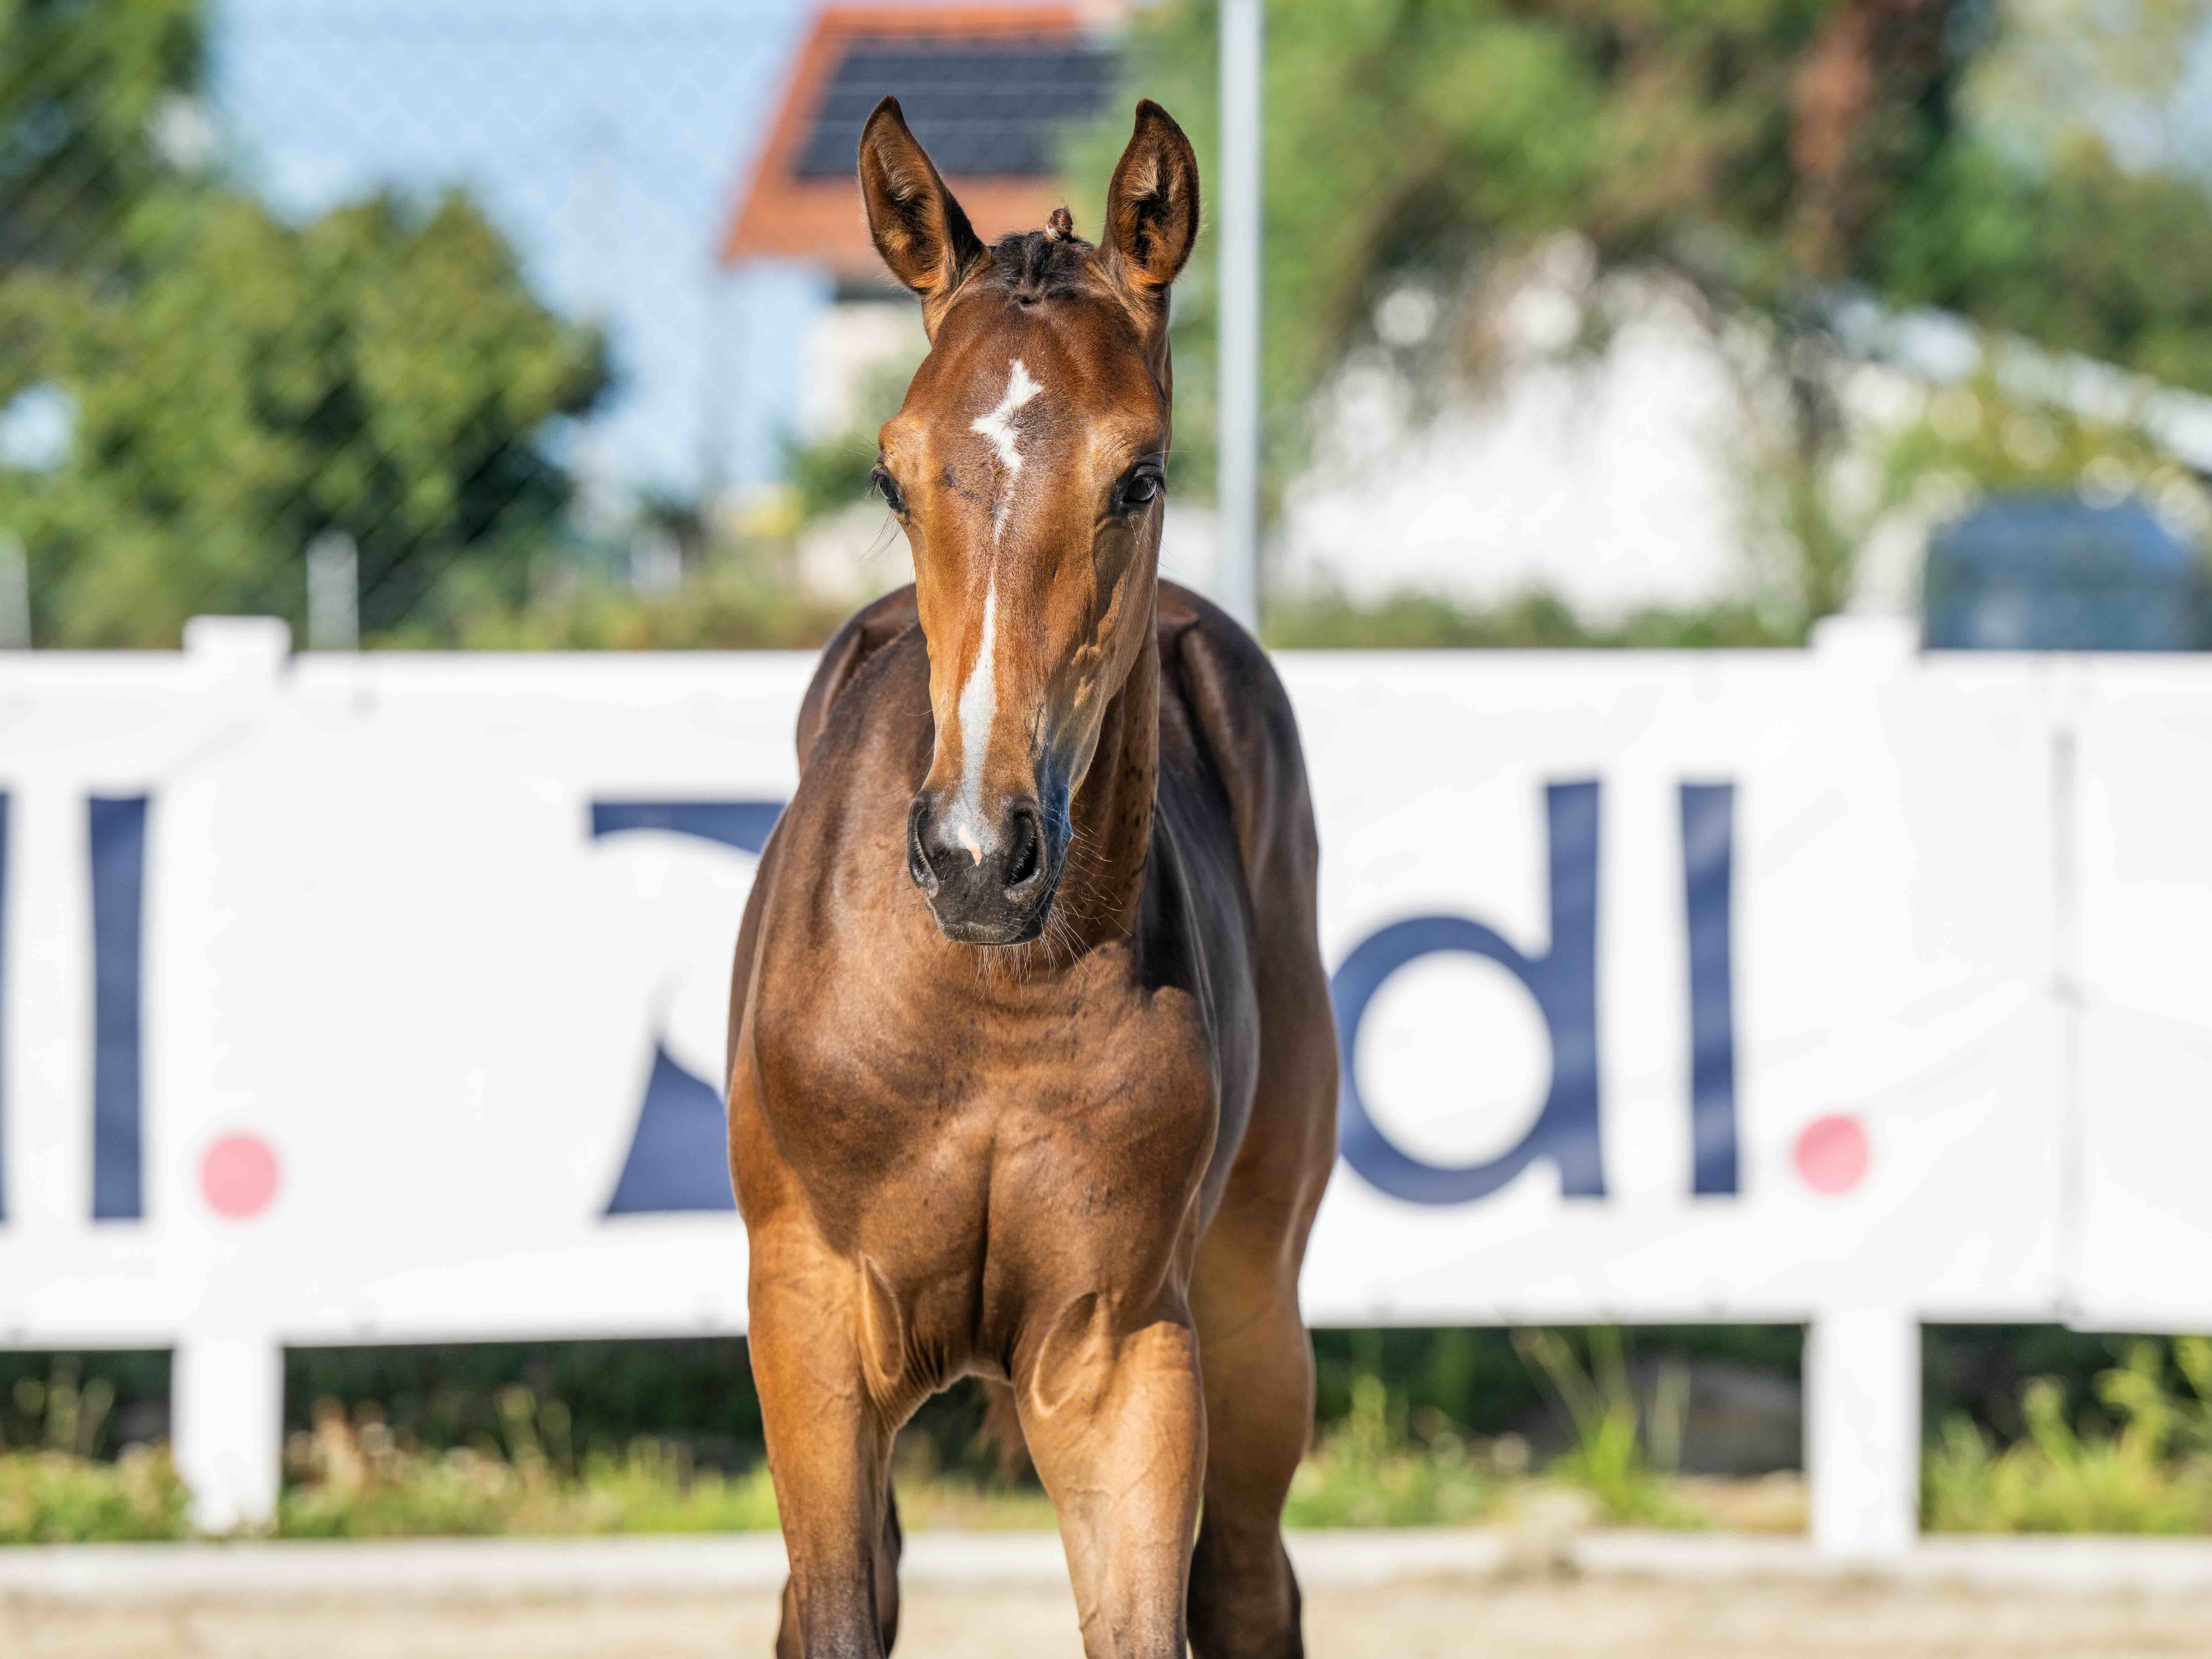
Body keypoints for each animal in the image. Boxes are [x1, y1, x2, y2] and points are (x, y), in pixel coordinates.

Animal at [725, 97, 1337, 1659]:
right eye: (890, 471)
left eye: (1140, 475)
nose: (974, 856)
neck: (990, 1000)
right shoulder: (808, 1321)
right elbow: (834, 1608)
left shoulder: (1123, 1358)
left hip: (1257, 1311)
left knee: (1249, 1584)